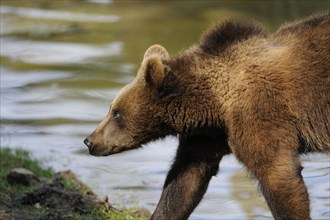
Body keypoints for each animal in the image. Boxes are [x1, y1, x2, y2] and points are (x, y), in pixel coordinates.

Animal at [85, 12, 330, 220]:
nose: (89, 140)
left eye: (116, 113)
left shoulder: (260, 116)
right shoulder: (208, 136)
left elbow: (278, 174)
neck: (215, 103)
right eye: (111, 108)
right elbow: (186, 180)